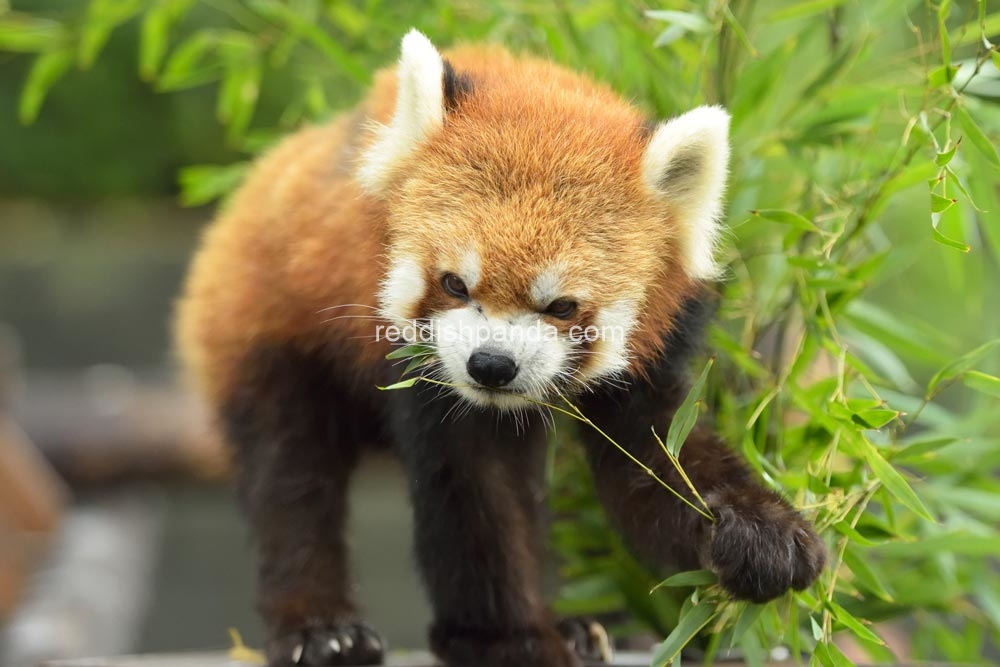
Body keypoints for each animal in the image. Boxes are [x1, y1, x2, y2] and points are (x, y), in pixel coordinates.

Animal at [176, 28, 824, 664]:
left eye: (561, 306)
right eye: (454, 284)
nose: (491, 365)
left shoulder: (658, 345)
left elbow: (658, 457)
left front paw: (758, 534)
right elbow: (475, 490)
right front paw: (509, 639)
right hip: (264, 327)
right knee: (291, 480)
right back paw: (321, 630)